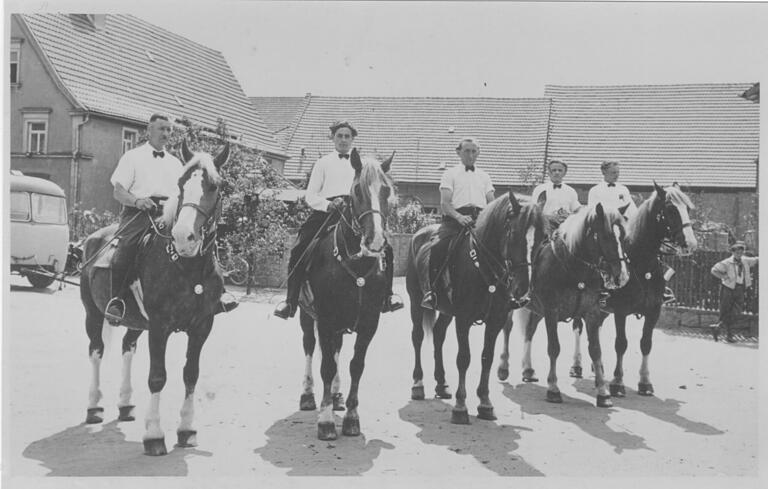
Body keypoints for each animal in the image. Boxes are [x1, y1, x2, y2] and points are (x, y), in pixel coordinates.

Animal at [82, 140, 231, 454]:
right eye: (181, 183)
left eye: (214, 186)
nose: (184, 237)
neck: (187, 267)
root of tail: (92, 238)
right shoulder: (160, 327)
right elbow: (157, 377)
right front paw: (154, 435)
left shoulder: (202, 326)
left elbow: (190, 374)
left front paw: (187, 429)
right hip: (93, 314)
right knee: (96, 351)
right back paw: (94, 406)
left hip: (137, 322)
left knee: (127, 347)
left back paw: (125, 404)